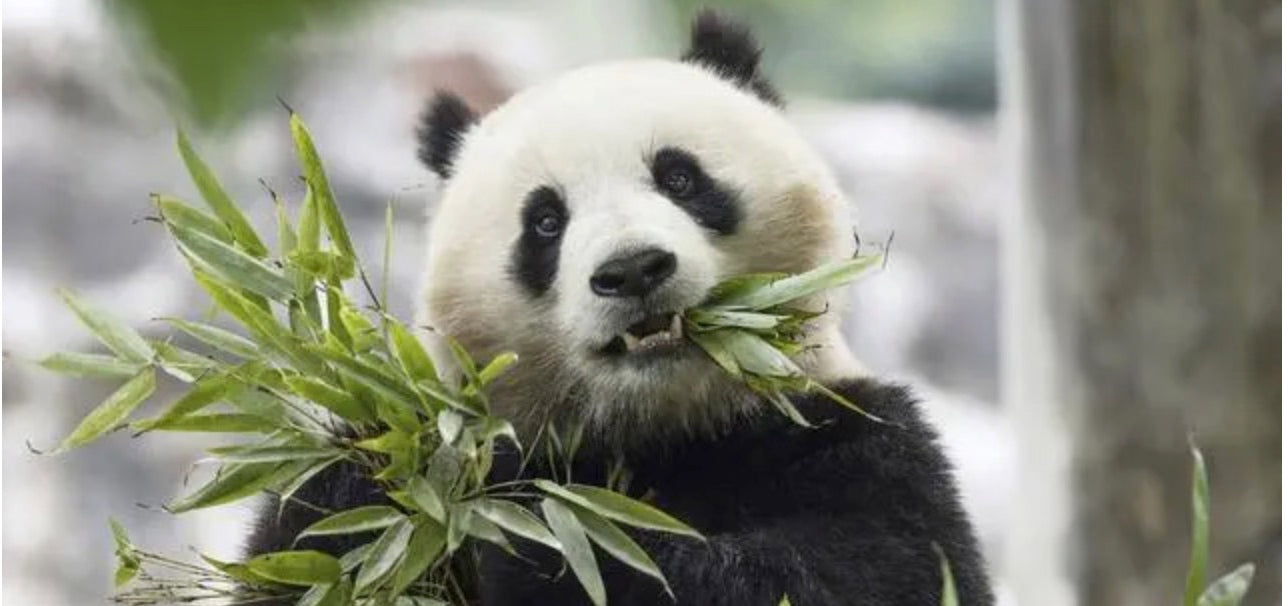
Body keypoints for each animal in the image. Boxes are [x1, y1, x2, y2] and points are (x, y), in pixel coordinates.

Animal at [247, 11, 994, 606]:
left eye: (680, 177)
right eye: (545, 222)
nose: (633, 269)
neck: (661, 432)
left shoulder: (860, 442)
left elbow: (855, 573)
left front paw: (550, 547)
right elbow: (311, 540)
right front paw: (377, 488)